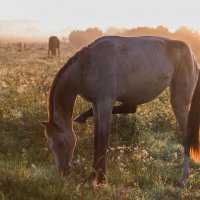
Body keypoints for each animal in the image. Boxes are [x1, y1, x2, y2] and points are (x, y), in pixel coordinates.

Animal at [39, 36, 200, 188]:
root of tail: (192, 57)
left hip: (179, 103)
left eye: (60, 143)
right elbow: (96, 141)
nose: (63, 172)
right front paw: (92, 177)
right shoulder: (96, 104)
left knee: (187, 137)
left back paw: (183, 179)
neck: (87, 65)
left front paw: (101, 180)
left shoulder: (105, 102)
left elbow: (102, 142)